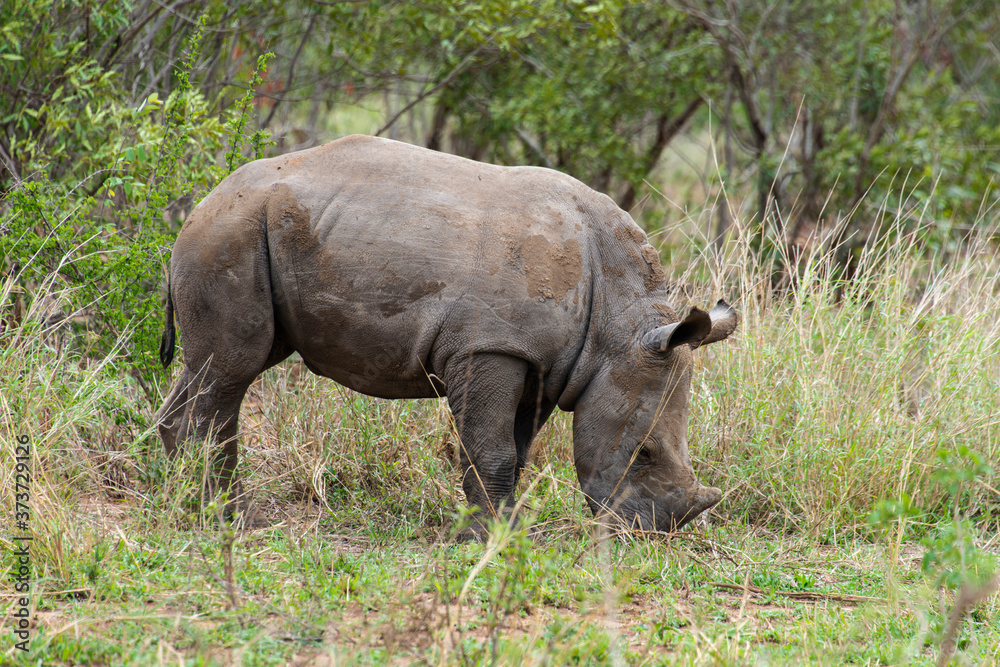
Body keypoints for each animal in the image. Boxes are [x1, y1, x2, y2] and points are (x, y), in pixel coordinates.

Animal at [156, 134, 738, 535]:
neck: (618, 329)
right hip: (229, 236)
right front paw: (490, 537)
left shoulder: (546, 364)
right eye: (645, 453)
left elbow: (513, 450)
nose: (652, 532)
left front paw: (502, 529)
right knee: (232, 369)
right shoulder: (491, 346)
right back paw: (230, 518)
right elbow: (492, 448)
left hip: (246, 230)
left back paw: (190, 501)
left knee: (220, 367)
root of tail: (202, 203)